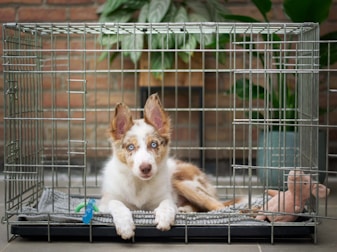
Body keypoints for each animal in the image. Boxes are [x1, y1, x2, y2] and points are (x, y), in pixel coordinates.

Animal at [98, 93, 232, 239]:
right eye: (131, 147)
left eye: (154, 144)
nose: (145, 168)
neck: (139, 183)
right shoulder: (104, 202)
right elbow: (116, 203)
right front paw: (125, 226)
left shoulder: (165, 196)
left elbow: (167, 203)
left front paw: (164, 217)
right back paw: (185, 210)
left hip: (184, 182)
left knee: (218, 206)